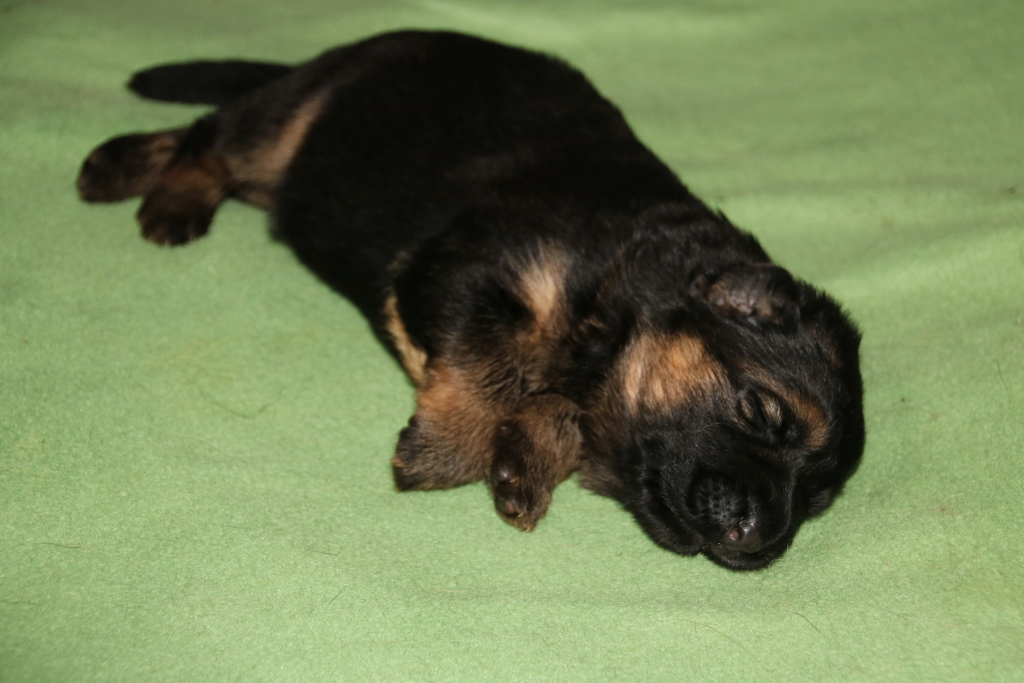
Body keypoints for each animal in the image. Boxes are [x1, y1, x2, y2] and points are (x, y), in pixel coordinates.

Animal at [76, 30, 865, 570]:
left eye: (816, 502)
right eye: (762, 412)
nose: (759, 540)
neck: (624, 274)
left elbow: (552, 399)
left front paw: (525, 458)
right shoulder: (456, 271)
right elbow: (497, 364)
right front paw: (444, 450)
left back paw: (120, 167)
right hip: (287, 117)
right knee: (211, 133)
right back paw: (154, 187)